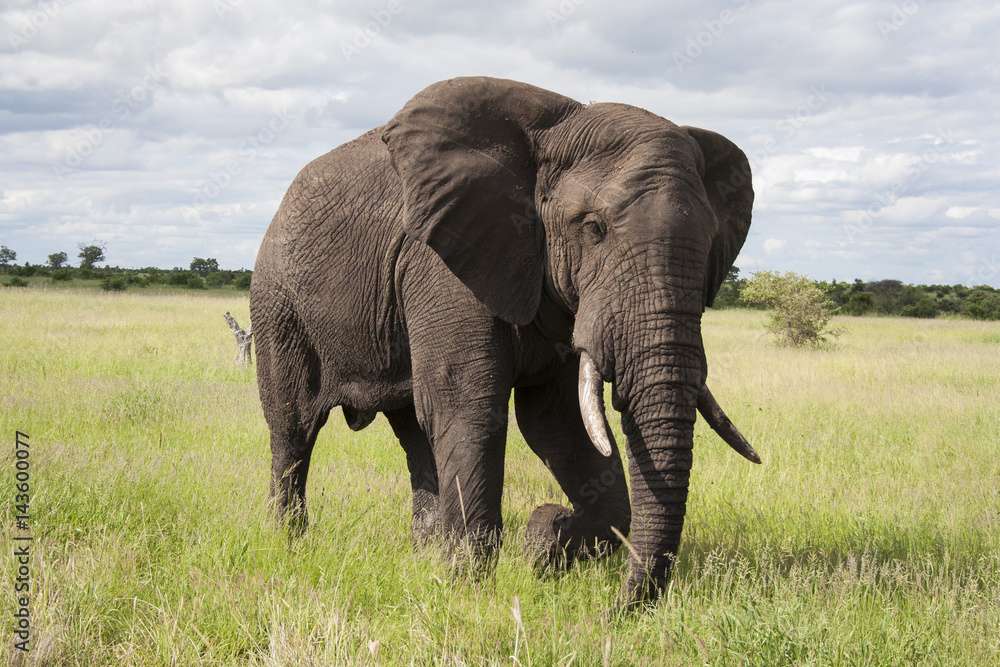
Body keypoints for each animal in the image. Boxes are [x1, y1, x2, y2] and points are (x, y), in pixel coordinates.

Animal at [250, 75, 756, 612]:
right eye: (593, 228)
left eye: (710, 243)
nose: (616, 613)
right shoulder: (442, 265)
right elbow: (470, 406)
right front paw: (469, 583)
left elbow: (557, 423)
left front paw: (543, 542)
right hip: (277, 301)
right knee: (294, 426)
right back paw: (289, 542)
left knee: (414, 428)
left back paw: (423, 553)